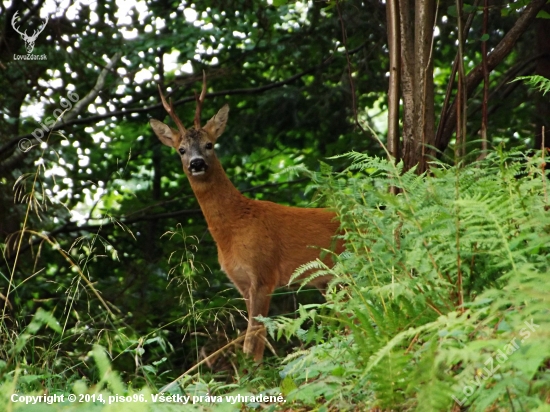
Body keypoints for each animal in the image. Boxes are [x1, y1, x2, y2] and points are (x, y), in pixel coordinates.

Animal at [149, 76, 342, 360]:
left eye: (209, 144)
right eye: (181, 150)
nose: (197, 163)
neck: (234, 227)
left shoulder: (264, 273)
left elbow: (252, 344)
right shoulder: (241, 282)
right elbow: (252, 342)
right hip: (328, 280)